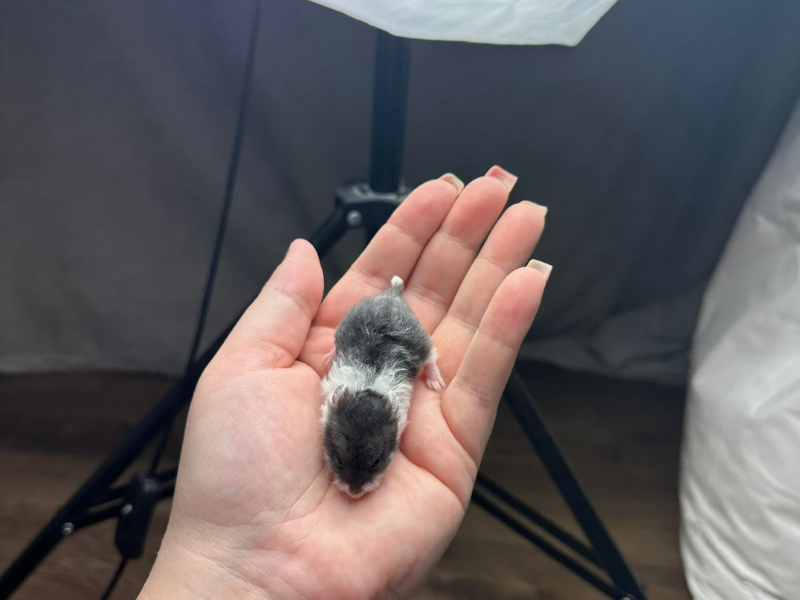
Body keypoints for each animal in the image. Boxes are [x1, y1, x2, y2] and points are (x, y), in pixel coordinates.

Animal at [320, 276, 444, 499]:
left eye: (376, 462)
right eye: (339, 459)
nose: (354, 493)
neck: (368, 385)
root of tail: (392, 295)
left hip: (422, 343)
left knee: (431, 358)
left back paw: (435, 383)